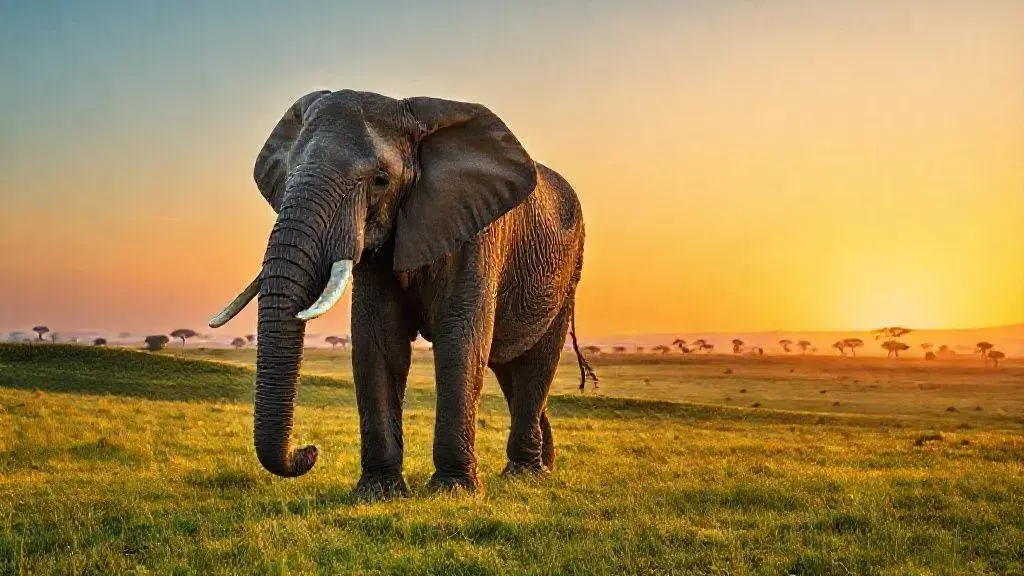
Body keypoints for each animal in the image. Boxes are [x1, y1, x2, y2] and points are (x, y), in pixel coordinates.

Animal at [209, 90, 594, 497]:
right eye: (288, 174)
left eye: (381, 181)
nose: (309, 451)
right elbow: (378, 339)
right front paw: (378, 492)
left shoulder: (476, 233)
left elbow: (461, 337)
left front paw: (453, 492)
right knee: (511, 368)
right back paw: (541, 467)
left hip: (569, 273)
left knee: (535, 365)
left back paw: (525, 475)